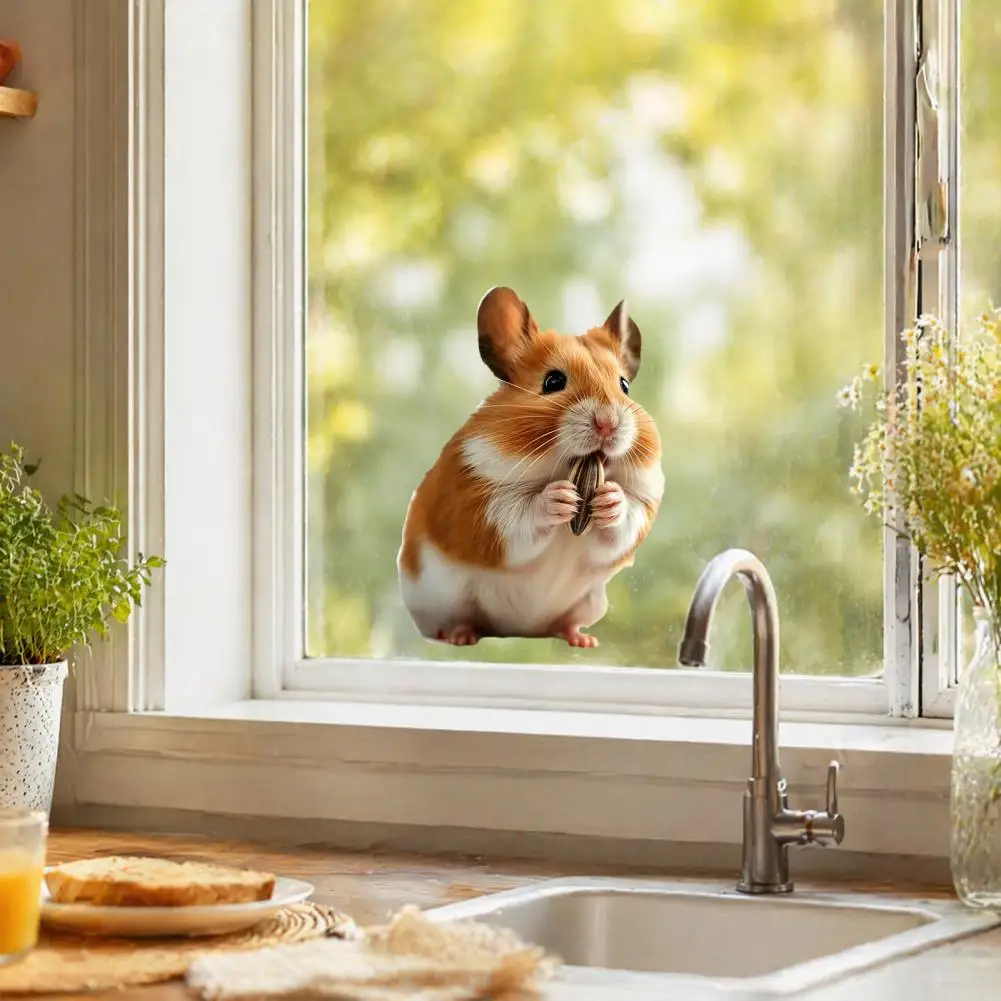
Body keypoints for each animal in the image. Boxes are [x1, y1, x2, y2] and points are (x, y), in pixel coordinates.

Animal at [397, 286, 664, 648]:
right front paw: (559, 498)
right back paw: (461, 636)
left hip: (590, 603)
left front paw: (609, 498)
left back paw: (582, 640)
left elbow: (625, 518)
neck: (563, 468)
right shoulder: (478, 506)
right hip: (440, 599)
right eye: (553, 381)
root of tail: (522, 629)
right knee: (459, 621)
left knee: (565, 625)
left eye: (624, 386)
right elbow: (520, 516)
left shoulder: (643, 505)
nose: (608, 424)